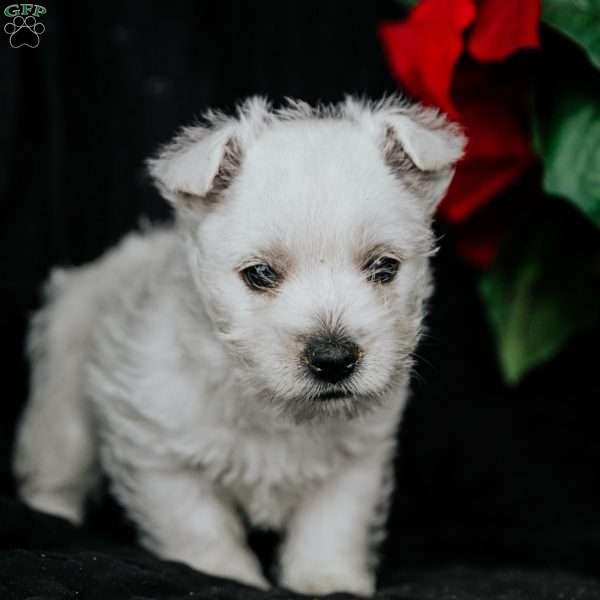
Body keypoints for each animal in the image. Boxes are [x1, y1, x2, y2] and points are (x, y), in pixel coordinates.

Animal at [12, 95, 464, 596]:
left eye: (384, 267)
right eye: (260, 274)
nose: (333, 359)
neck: (269, 405)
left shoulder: (356, 460)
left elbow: (331, 524)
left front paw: (328, 579)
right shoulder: (159, 451)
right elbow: (197, 526)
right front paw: (225, 574)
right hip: (63, 405)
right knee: (56, 467)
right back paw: (51, 515)